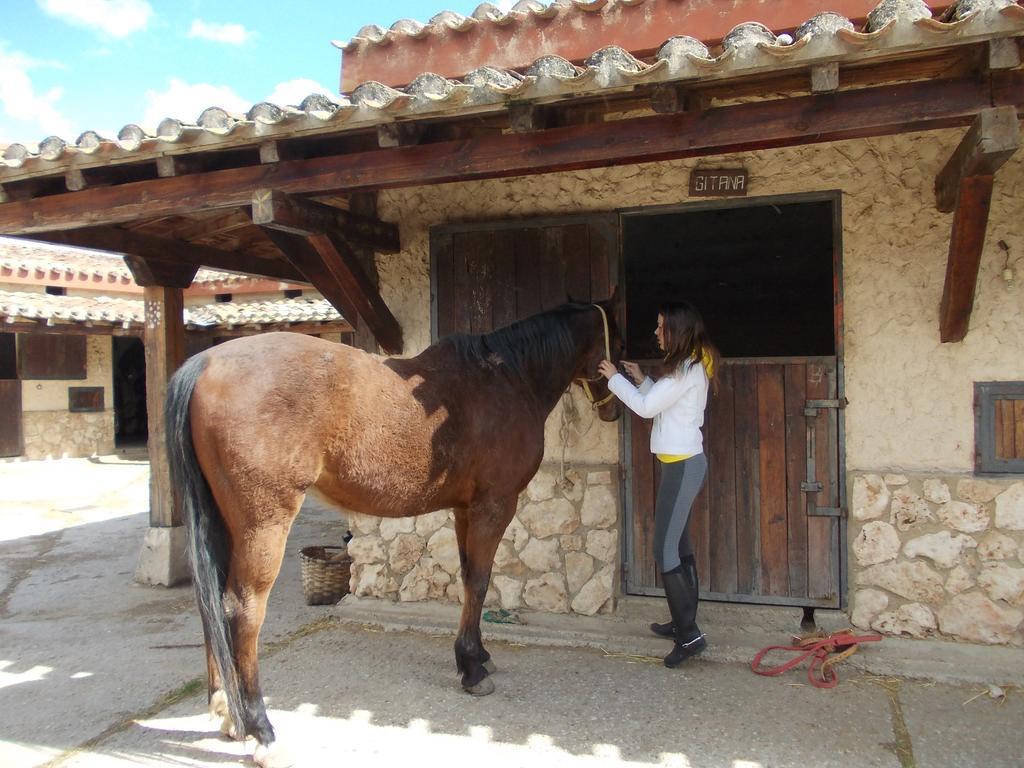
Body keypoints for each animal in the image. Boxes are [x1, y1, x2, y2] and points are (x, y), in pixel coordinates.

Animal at [165, 296, 622, 768]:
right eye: (619, 333)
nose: (614, 408)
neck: (505, 377)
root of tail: (204, 364)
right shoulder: (494, 507)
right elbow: (480, 582)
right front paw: (472, 669)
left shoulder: (465, 510)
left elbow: (468, 581)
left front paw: (475, 655)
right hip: (264, 524)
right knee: (242, 611)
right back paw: (262, 731)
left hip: (222, 522)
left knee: (211, 604)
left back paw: (225, 709)